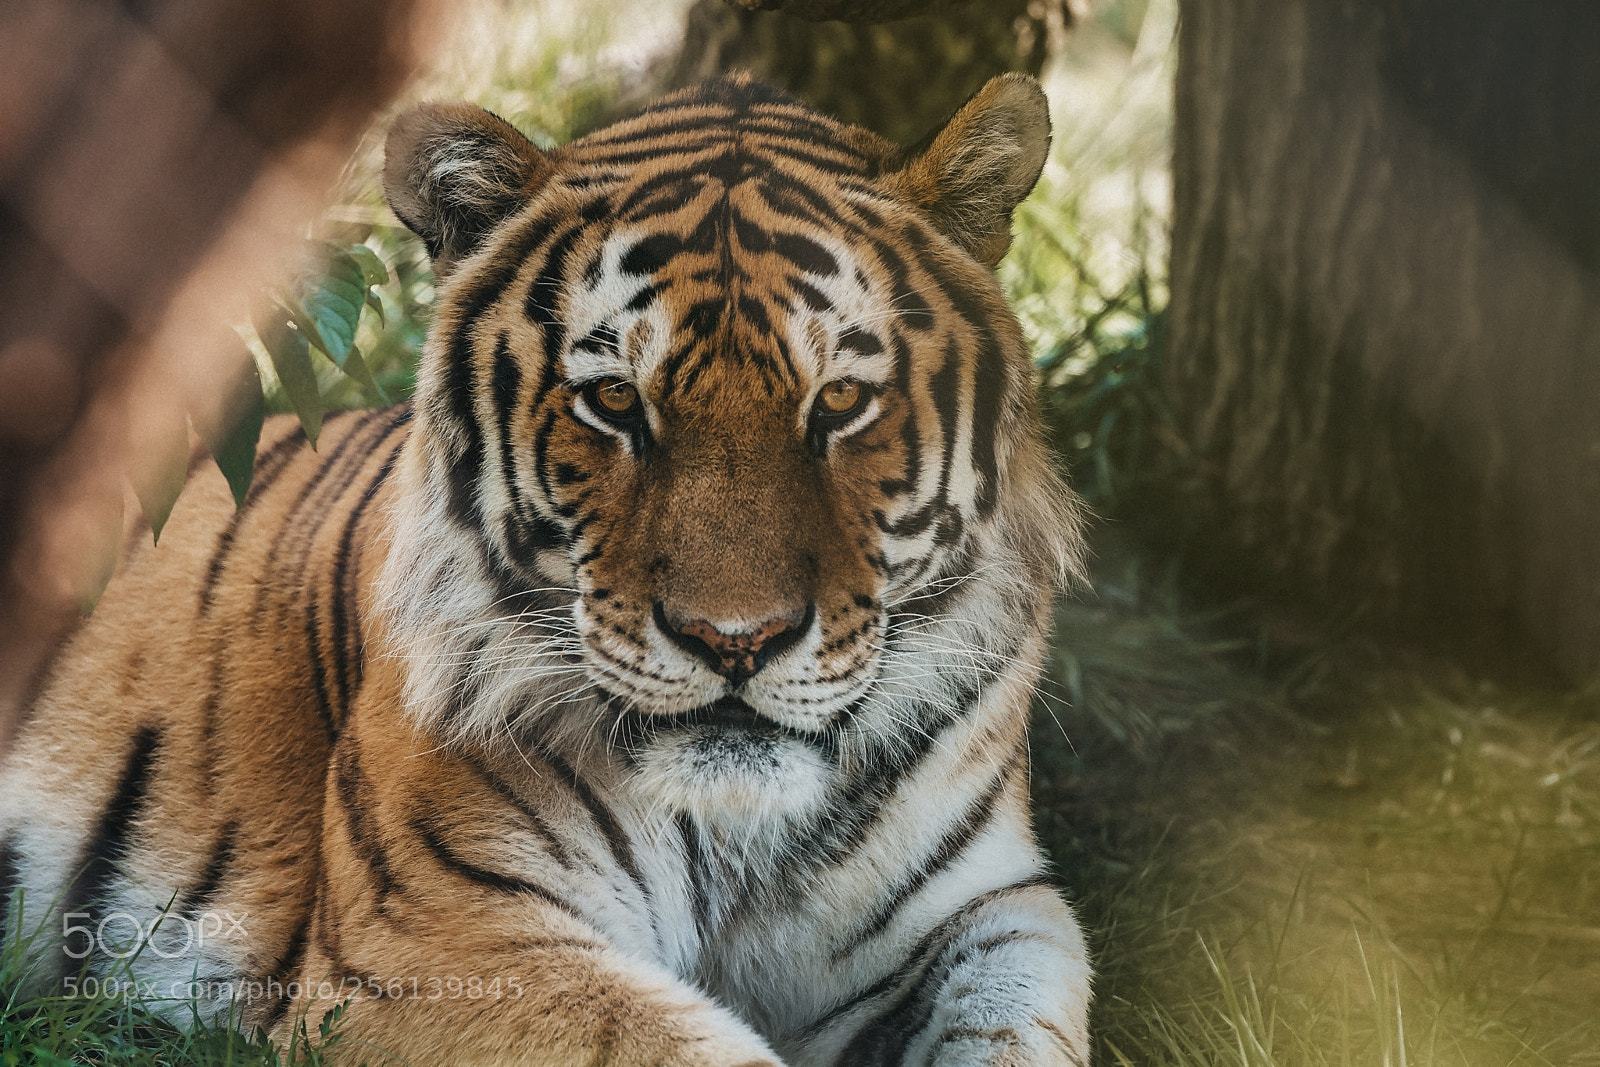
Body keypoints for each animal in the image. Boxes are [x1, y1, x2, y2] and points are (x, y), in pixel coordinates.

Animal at [0, 72, 1091, 1065]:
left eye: (840, 402)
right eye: (613, 400)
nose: (735, 641)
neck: (738, 833)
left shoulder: (995, 910)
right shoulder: (436, 940)